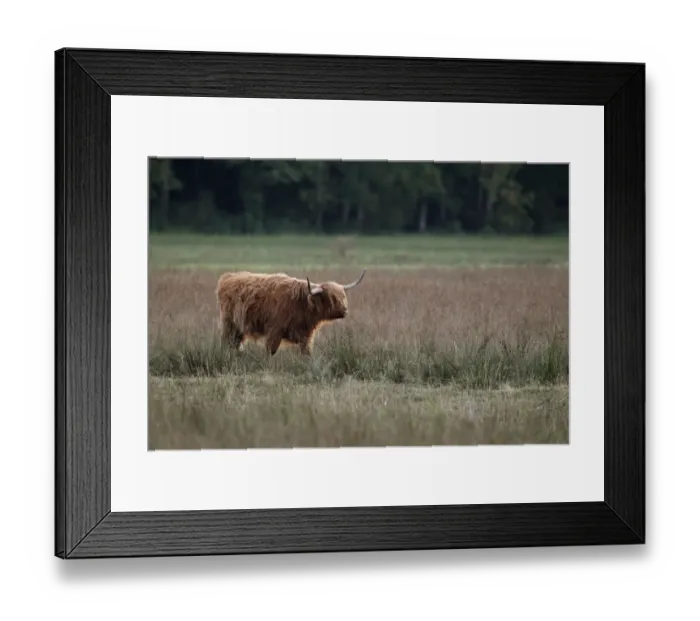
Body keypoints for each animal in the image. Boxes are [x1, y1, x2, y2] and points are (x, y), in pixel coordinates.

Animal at [215, 268, 367, 356]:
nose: (345, 311)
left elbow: (306, 353)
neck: (302, 304)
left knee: (235, 343)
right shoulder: (275, 330)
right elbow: (270, 351)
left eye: (343, 296)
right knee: (226, 342)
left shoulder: (306, 335)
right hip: (229, 324)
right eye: (332, 298)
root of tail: (228, 277)